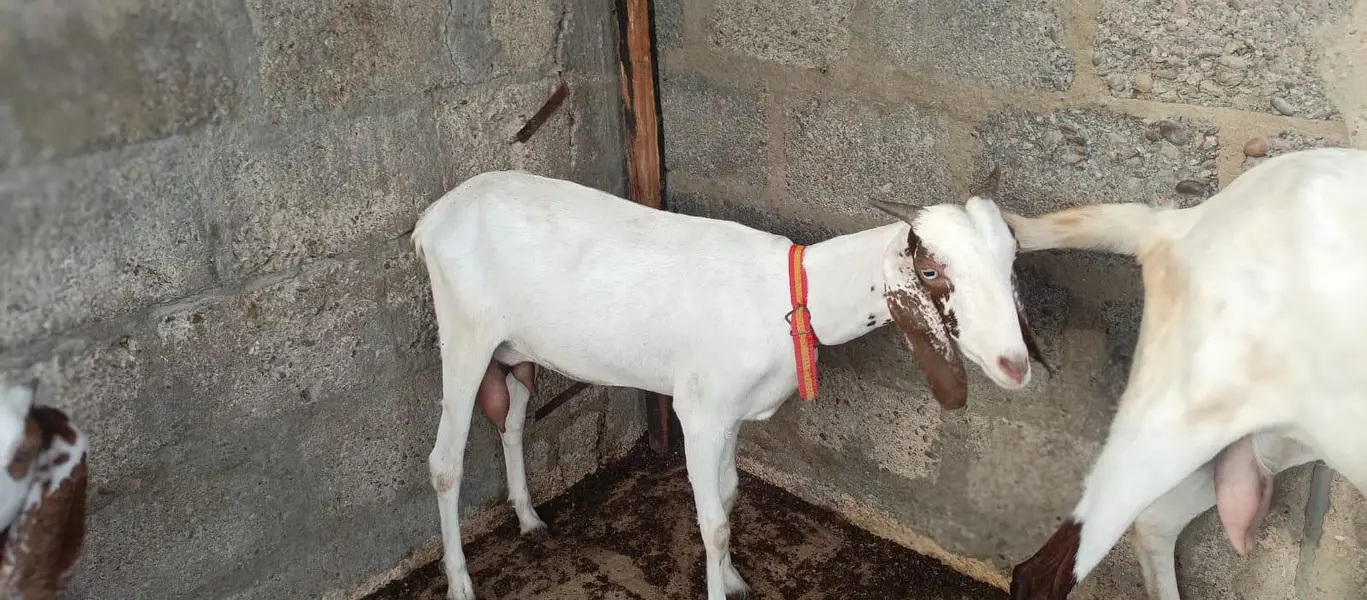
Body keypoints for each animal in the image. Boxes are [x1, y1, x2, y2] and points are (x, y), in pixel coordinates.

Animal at [411, 169, 1046, 600]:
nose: (1015, 363)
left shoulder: (733, 414)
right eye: (931, 271)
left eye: (1011, 260)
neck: (790, 294)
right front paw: (723, 580)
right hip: (465, 337)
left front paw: (736, 579)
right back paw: (461, 582)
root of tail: (432, 218)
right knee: (444, 463)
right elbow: (713, 524)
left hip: (515, 351)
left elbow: (731, 494)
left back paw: (529, 519)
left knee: (513, 423)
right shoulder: (699, 411)